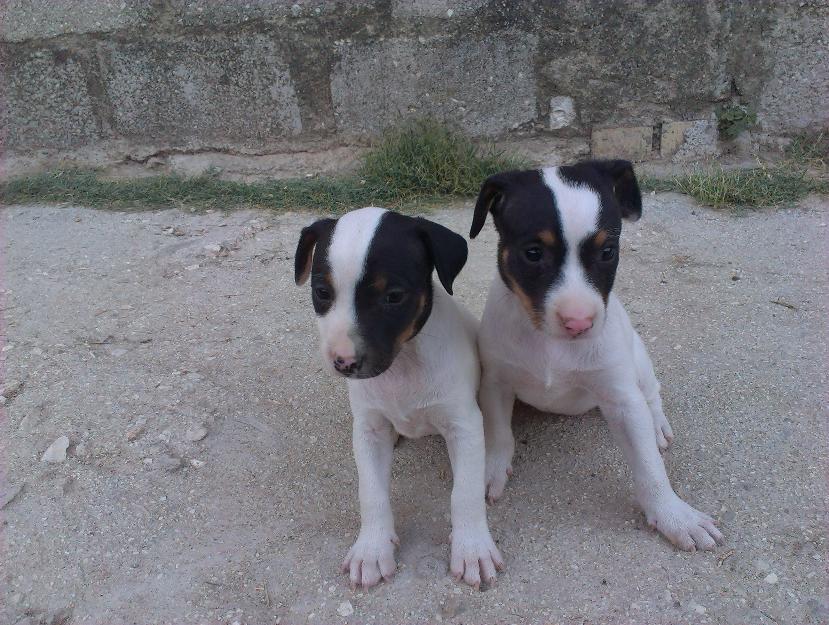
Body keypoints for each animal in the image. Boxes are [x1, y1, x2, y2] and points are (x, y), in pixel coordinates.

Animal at [298, 207, 504, 588]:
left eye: (393, 296)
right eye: (321, 292)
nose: (344, 362)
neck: (404, 364)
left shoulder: (464, 426)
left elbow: (465, 493)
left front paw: (472, 547)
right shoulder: (369, 430)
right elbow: (371, 492)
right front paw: (372, 548)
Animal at [472, 161, 724, 552]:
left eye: (607, 252)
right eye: (533, 253)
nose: (579, 322)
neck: (550, 344)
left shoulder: (621, 398)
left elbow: (649, 467)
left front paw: (673, 514)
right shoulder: (496, 382)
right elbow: (497, 432)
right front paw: (491, 469)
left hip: (638, 358)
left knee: (651, 394)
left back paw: (657, 424)